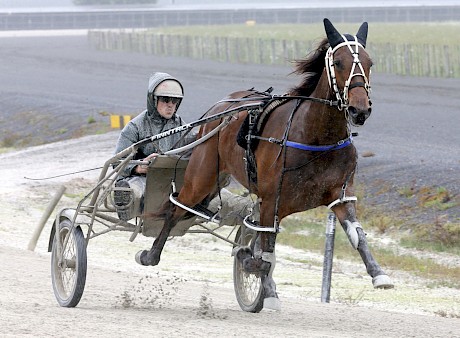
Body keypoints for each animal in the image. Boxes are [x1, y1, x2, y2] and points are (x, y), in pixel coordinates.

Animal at [135, 17, 394, 308]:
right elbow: (264, 250)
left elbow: (356, 235)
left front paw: (379, 275)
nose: (359, 110)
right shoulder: (272, 198)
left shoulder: (339, 194)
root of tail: (222, 106)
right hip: (202, 175)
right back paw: (151, 254)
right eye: (338, 62)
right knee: (177, 206)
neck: (316, 137)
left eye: (370, 62)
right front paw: (254, 268)